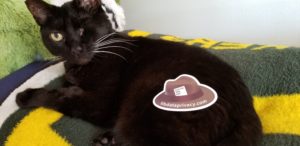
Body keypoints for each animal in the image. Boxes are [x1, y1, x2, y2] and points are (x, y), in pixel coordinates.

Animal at [17, 0, 264, 146]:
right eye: (57, 36)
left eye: (82, 29)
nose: (75, 49)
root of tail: (246, 109)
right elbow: (66, 87)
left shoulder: (99, 104)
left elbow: (60, 96)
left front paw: (26, 96)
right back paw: (107, 139)